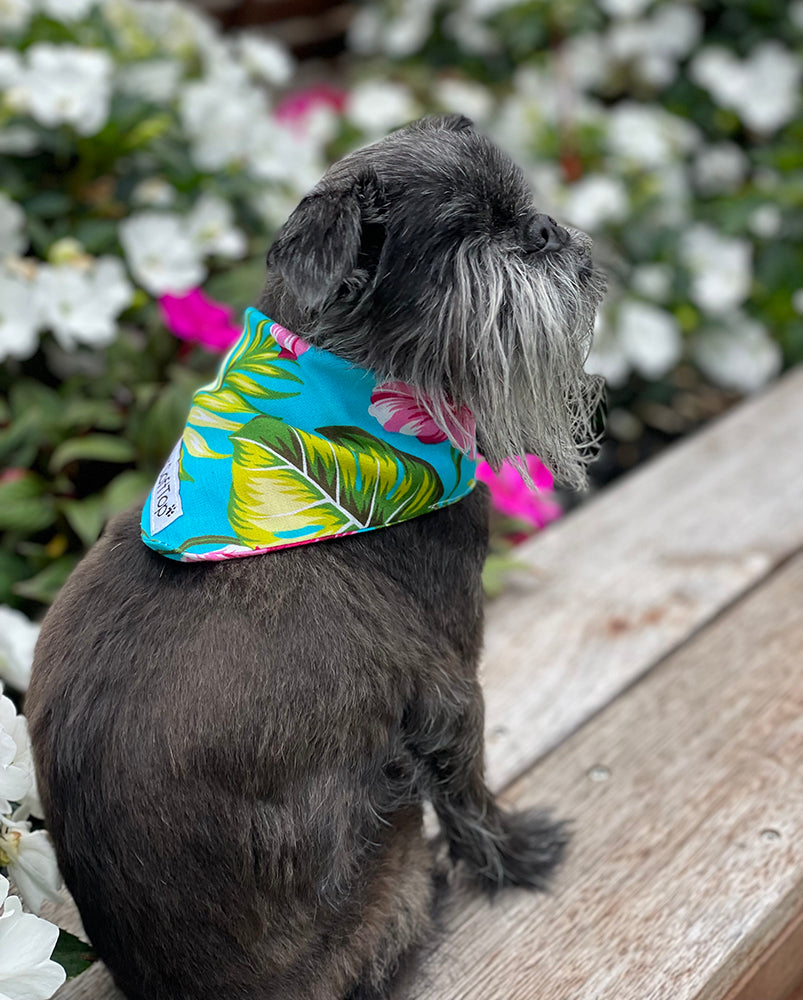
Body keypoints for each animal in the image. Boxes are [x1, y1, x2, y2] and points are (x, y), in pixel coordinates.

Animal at [25, 113, 608, 996]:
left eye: (516, 206)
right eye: (461, 236)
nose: (540, 231)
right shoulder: (449, 689)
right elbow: (469, 791)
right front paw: (514, 857)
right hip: (391, 853)